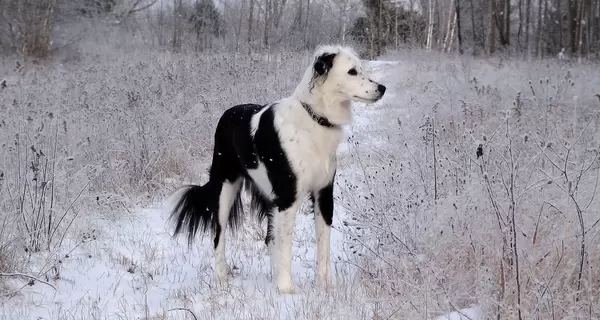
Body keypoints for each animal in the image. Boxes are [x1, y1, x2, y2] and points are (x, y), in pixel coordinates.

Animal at [169, 45, 386, 296]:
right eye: (352, 72)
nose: (382, 88)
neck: (315, 118)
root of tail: (228, 112)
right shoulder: (288, 198)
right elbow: (286, 245)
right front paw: (286, 288)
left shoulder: (323, 193)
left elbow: (323, 245)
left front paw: (324, 286)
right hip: (225, 189)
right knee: (218, 236)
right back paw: (222, 277)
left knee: (269, 238)